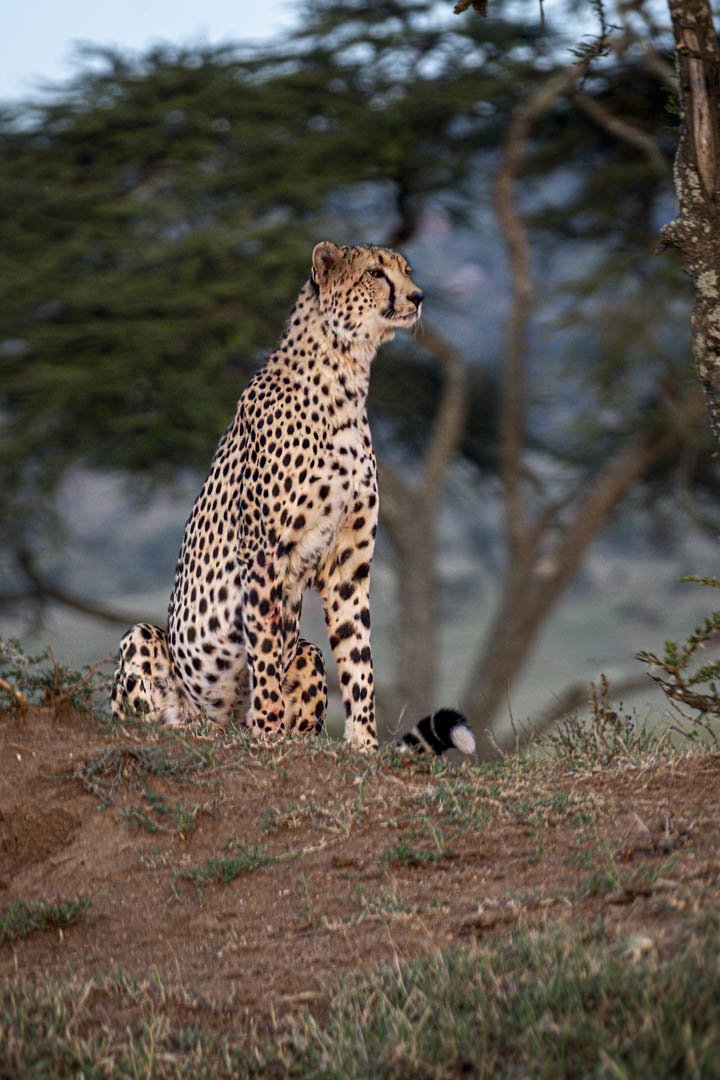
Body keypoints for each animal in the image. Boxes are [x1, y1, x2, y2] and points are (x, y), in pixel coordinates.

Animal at [110, 241, 475, 756]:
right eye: (375, 273)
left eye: (407, 271)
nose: (418, 297)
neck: (346, 379)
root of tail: (218, 724)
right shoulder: (263, 553)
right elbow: (264, 651)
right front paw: (268, 733)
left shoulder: (348, 564)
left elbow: (358, 657)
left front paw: (364, 746)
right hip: (144, 648)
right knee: (142, 713)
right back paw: (195, 728)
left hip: (308, 650)